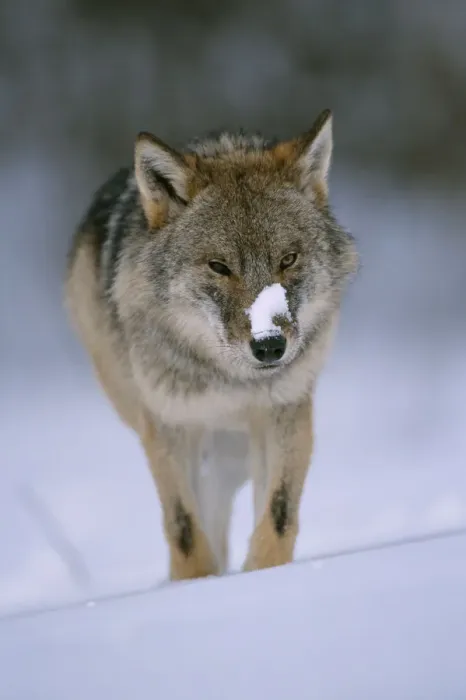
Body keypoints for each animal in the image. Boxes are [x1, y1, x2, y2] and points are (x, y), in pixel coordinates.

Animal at [65, 108, 358, 581]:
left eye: (288, 259)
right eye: (219, 267)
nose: (269, 345)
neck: (228, 379)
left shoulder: (286, 411)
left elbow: (278, 513)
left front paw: (264, 575)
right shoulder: (167, 425)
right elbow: (185, 529)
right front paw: (197, 587)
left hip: (233, 451)